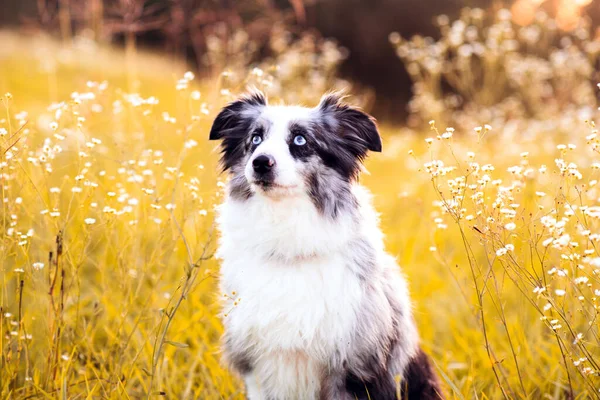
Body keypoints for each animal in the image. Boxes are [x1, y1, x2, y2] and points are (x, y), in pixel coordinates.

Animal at [210, 91, 440, 400]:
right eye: (255, 138)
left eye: (300, 140)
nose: (260, 162)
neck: (288, 246)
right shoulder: (255, 366)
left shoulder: (351, 372)